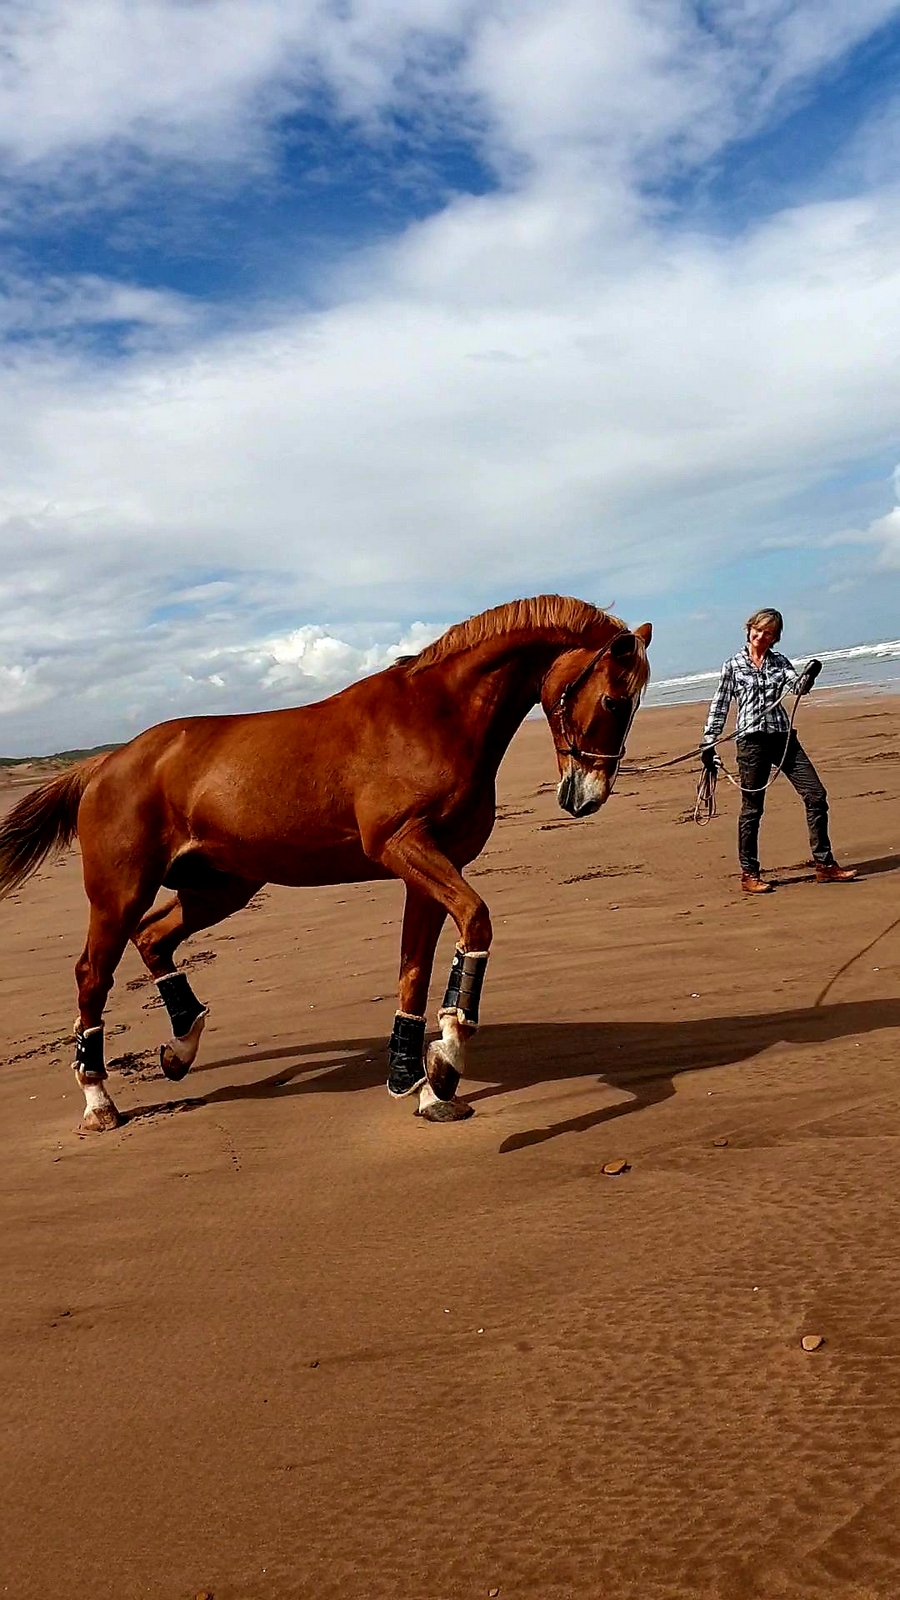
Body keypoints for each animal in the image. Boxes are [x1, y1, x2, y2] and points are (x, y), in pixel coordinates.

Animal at [0, 596, 651, 1132]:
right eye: (614, 699)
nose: (586, 797)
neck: (433, 716)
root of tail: (105, 764)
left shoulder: (426, 872)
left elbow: (415, 969)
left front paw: (419, 1083)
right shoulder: (402, 847)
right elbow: (477, 920)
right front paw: (447, 1059)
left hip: (222, 887)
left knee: (154, 937)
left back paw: (180, 1050)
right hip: (119, 892)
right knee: (93, 974)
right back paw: (98, 1101)